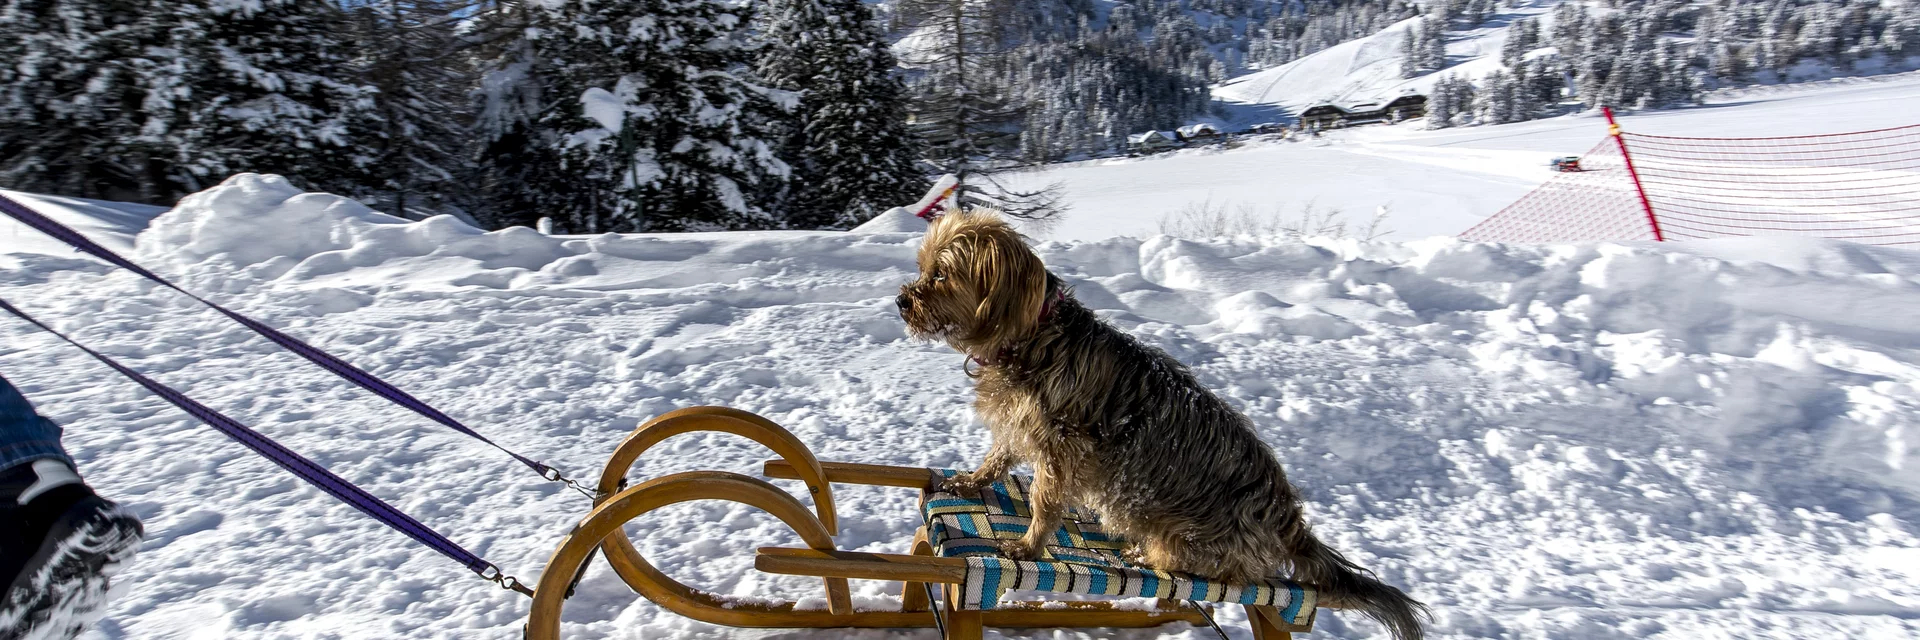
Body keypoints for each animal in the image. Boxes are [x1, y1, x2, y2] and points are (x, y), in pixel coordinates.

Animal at [898, 209, 1428, 638]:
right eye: (923, 267)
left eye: (941, 274)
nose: (903, 301)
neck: (1030, 337)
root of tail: (1286, 518)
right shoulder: (1016, 428)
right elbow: (997, 457)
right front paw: (970, 480)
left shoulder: (1060, 449)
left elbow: (1044, 502)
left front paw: (1027, 548)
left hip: (1188, 536)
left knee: (1214, 570)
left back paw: (1143, 555)